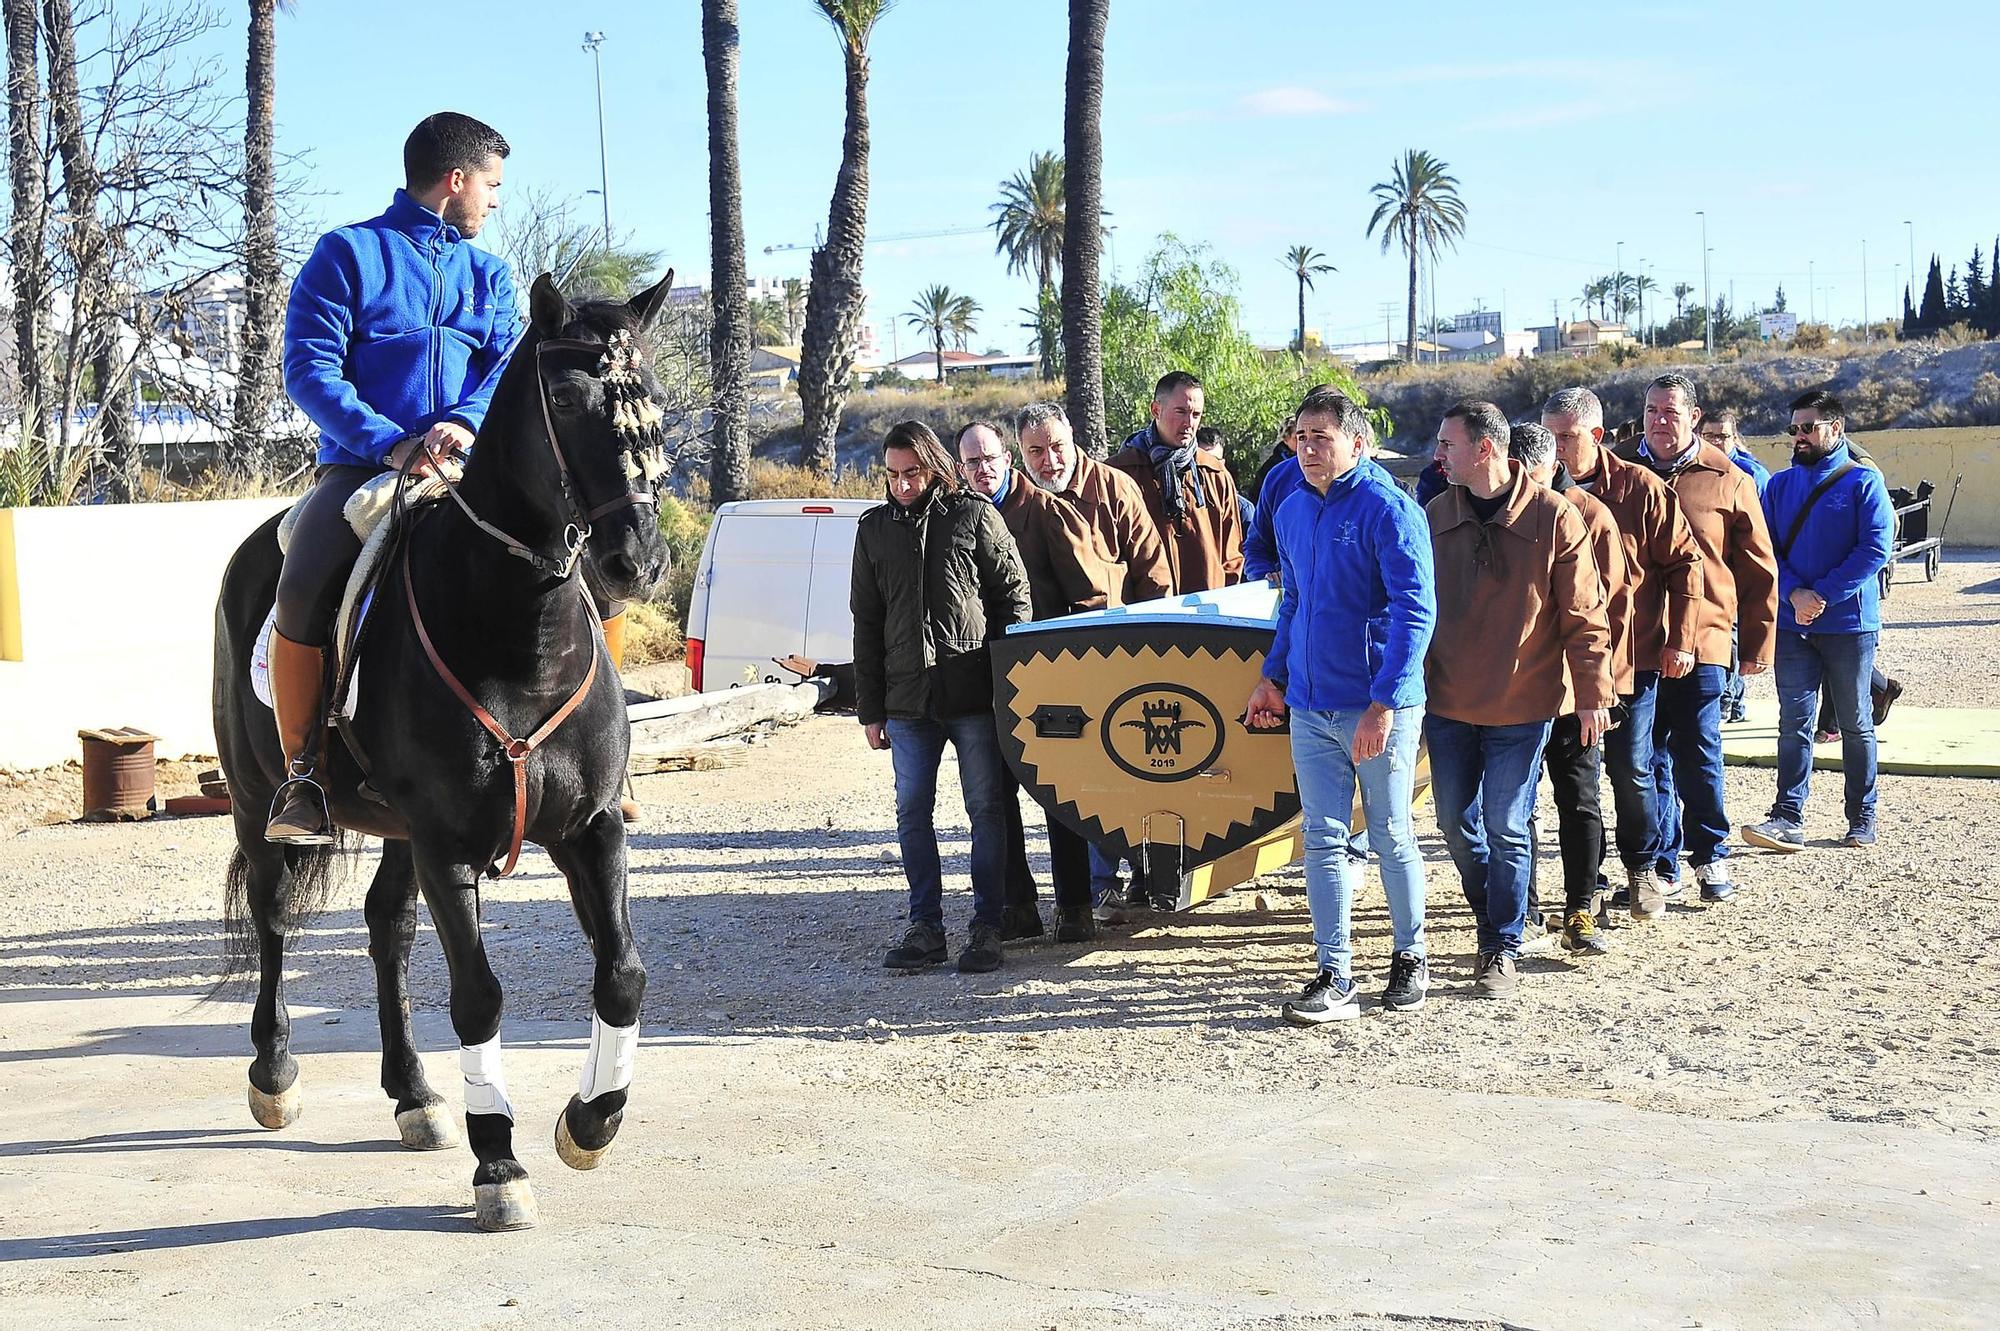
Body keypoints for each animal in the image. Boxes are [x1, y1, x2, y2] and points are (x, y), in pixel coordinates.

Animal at [217, 273, 672, 1231]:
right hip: (256, 802)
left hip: (396, 830)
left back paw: (414, 1093)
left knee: (386, 929)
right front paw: (498, 1160)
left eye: (650, 392)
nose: (639, 558)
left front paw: (590, 1120)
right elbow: (478, 994)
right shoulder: (448, 845)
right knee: (274, 921)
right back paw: (274, 1074)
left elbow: (622, 973)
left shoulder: (591, 828)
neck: (520, 635)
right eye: (565, 400)